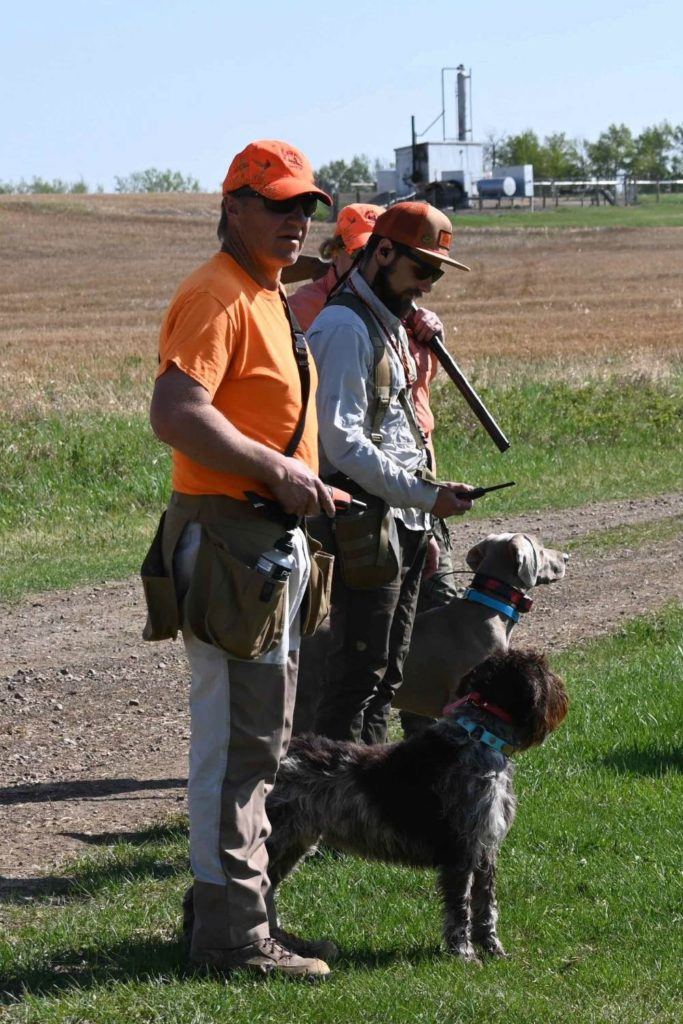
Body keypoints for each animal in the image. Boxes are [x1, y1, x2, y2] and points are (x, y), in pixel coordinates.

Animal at [264, 647, 569, 958]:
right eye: (543, 668)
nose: (561, 687)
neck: (480, 737)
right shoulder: (461, 851)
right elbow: (460, 907)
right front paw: (463, 953)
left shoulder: (485, 849)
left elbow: (486, 905)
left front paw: (494, 950)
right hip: (277, 840)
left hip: (294, 843)